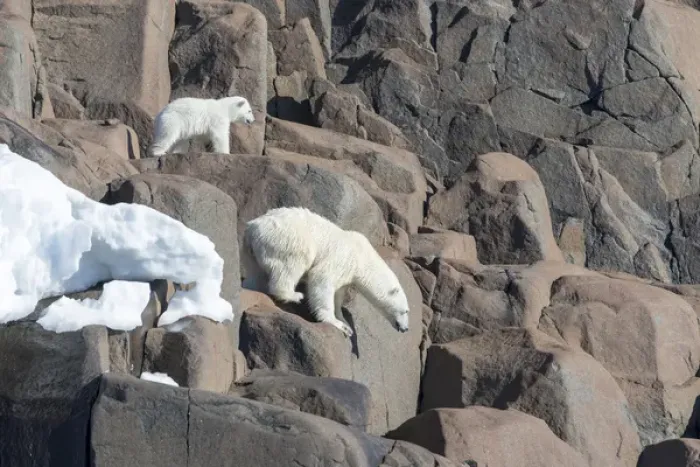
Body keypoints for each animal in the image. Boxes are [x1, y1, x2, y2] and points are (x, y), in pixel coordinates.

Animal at [240, 207, 410, 337]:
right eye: (405, 311)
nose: (405, 329)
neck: (363, 256)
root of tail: (252, 226)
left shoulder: (347, 275)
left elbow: (338, 295)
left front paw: (344, 321)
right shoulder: (344, 259)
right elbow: (322, 279)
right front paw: (337, 324)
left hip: (252, 251)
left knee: (256, 273)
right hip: (286, 238)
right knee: (293, 263)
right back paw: (294, 295)